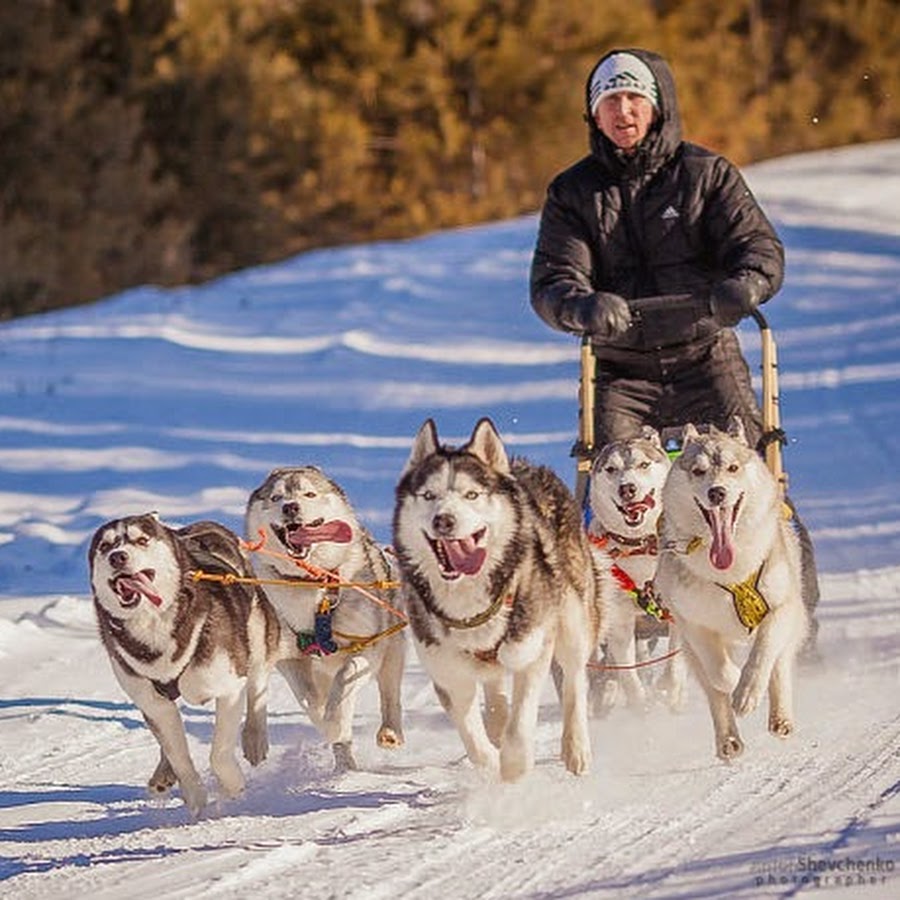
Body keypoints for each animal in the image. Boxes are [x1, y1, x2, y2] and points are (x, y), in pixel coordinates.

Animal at [90, 512, 282, 816]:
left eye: (142, 540)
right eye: (105, 546)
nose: (117, 557)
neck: (154, 625)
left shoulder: (229, 689)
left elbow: (219, 753)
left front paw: (233, 785)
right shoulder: (153, 703)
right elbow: (177, 753)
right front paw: (193, 793)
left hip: (258, 633)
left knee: (257, 685)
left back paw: (254, 737)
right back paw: (163, 773)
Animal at [243, 468, 404, 768]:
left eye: (309, 494)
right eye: (276, 497)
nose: (290, 507)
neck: (314, 583)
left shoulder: (368, 646)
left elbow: (345, 681)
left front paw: (336, 723)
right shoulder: (288, 658)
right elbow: (309, 701)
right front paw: (330, 727)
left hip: (393, 650)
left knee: (389, 693)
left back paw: (389, 731)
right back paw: (345, 763)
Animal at [392, 418, 608, 776]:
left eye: (472, 494)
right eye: (428, 495)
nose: (443, 520)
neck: (469, 604)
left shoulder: (533, 650)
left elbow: (520, 727)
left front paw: (513, 768)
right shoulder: (448, 675)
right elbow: (473, 737)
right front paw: (490, 763)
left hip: (573, 622)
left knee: (575, 681)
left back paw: (576, 747)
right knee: (494, 687)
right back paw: (496, 719)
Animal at [588, 426, 684, 712]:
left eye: (643, 464)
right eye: (611, 469)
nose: (627, 488)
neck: (641, 544)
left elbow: (675, 664)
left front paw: (670, 689)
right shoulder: (620, 620)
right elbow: (629, 675)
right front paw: (641, 707)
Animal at [652, 422, 804, 760]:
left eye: (733, 468)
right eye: (698, 471)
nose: (717, 492)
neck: (731, 573)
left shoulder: (781, 608)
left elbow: (764, 653)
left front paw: (748, 691)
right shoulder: (696, 625)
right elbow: (720, 673)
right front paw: (736, 684)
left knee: (780, 663)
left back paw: (781, 718)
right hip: (689, 645)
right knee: (713, 688)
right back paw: (728, 740)